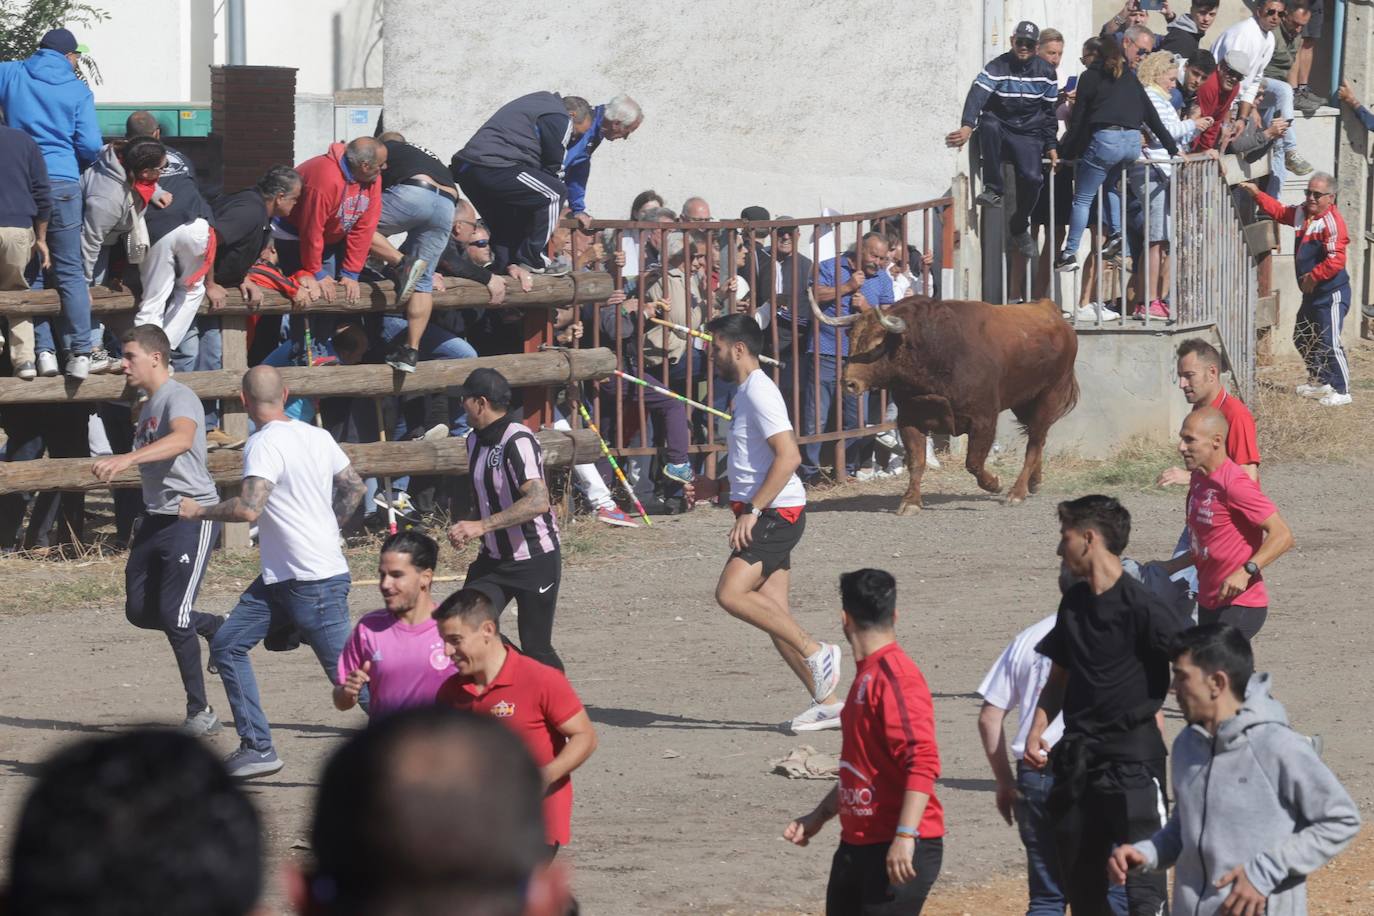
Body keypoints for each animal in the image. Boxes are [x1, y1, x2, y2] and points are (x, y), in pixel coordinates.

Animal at [807, 295, 1077, 516]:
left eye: (877, 344)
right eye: (852, 339)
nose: (849, 383)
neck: (937, 351)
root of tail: (1052, 311)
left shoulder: (984, 419)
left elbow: (974, 462)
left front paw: (994, 483)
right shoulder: (909, 419)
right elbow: (917, 461)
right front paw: (910, 501)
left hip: (1049, 396)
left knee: (1034, 443)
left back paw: (1017, 492)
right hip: (1024, 403)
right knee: (1037, 439)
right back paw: (1034, 482)